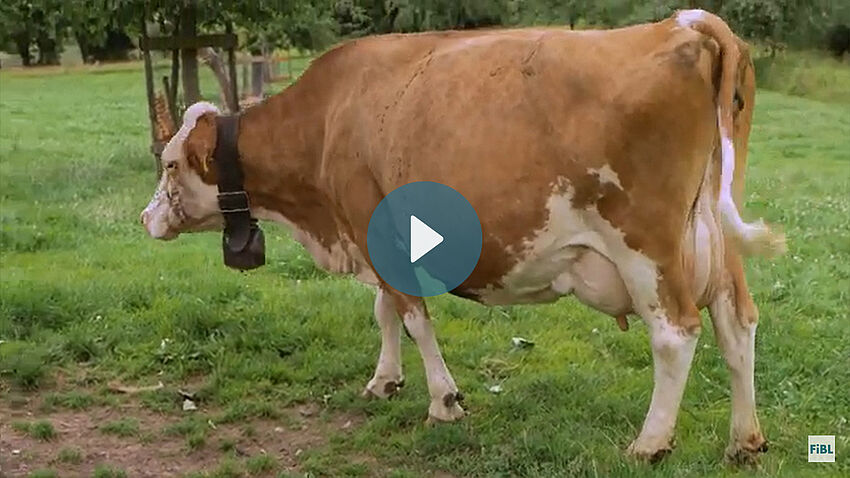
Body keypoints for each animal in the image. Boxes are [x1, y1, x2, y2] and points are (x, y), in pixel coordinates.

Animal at [139, 8, 780, 464]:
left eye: (169, 164)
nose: (146, 219)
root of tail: (684, 23)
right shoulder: (378, 238)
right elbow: (385, 310)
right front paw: (384, 380)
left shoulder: (371, 226)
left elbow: (414, 317)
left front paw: (443, 401)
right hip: (714, 242)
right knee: (737, 323)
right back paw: (744, 440)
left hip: (645, 244)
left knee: (675, 333)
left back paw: (650, 444)